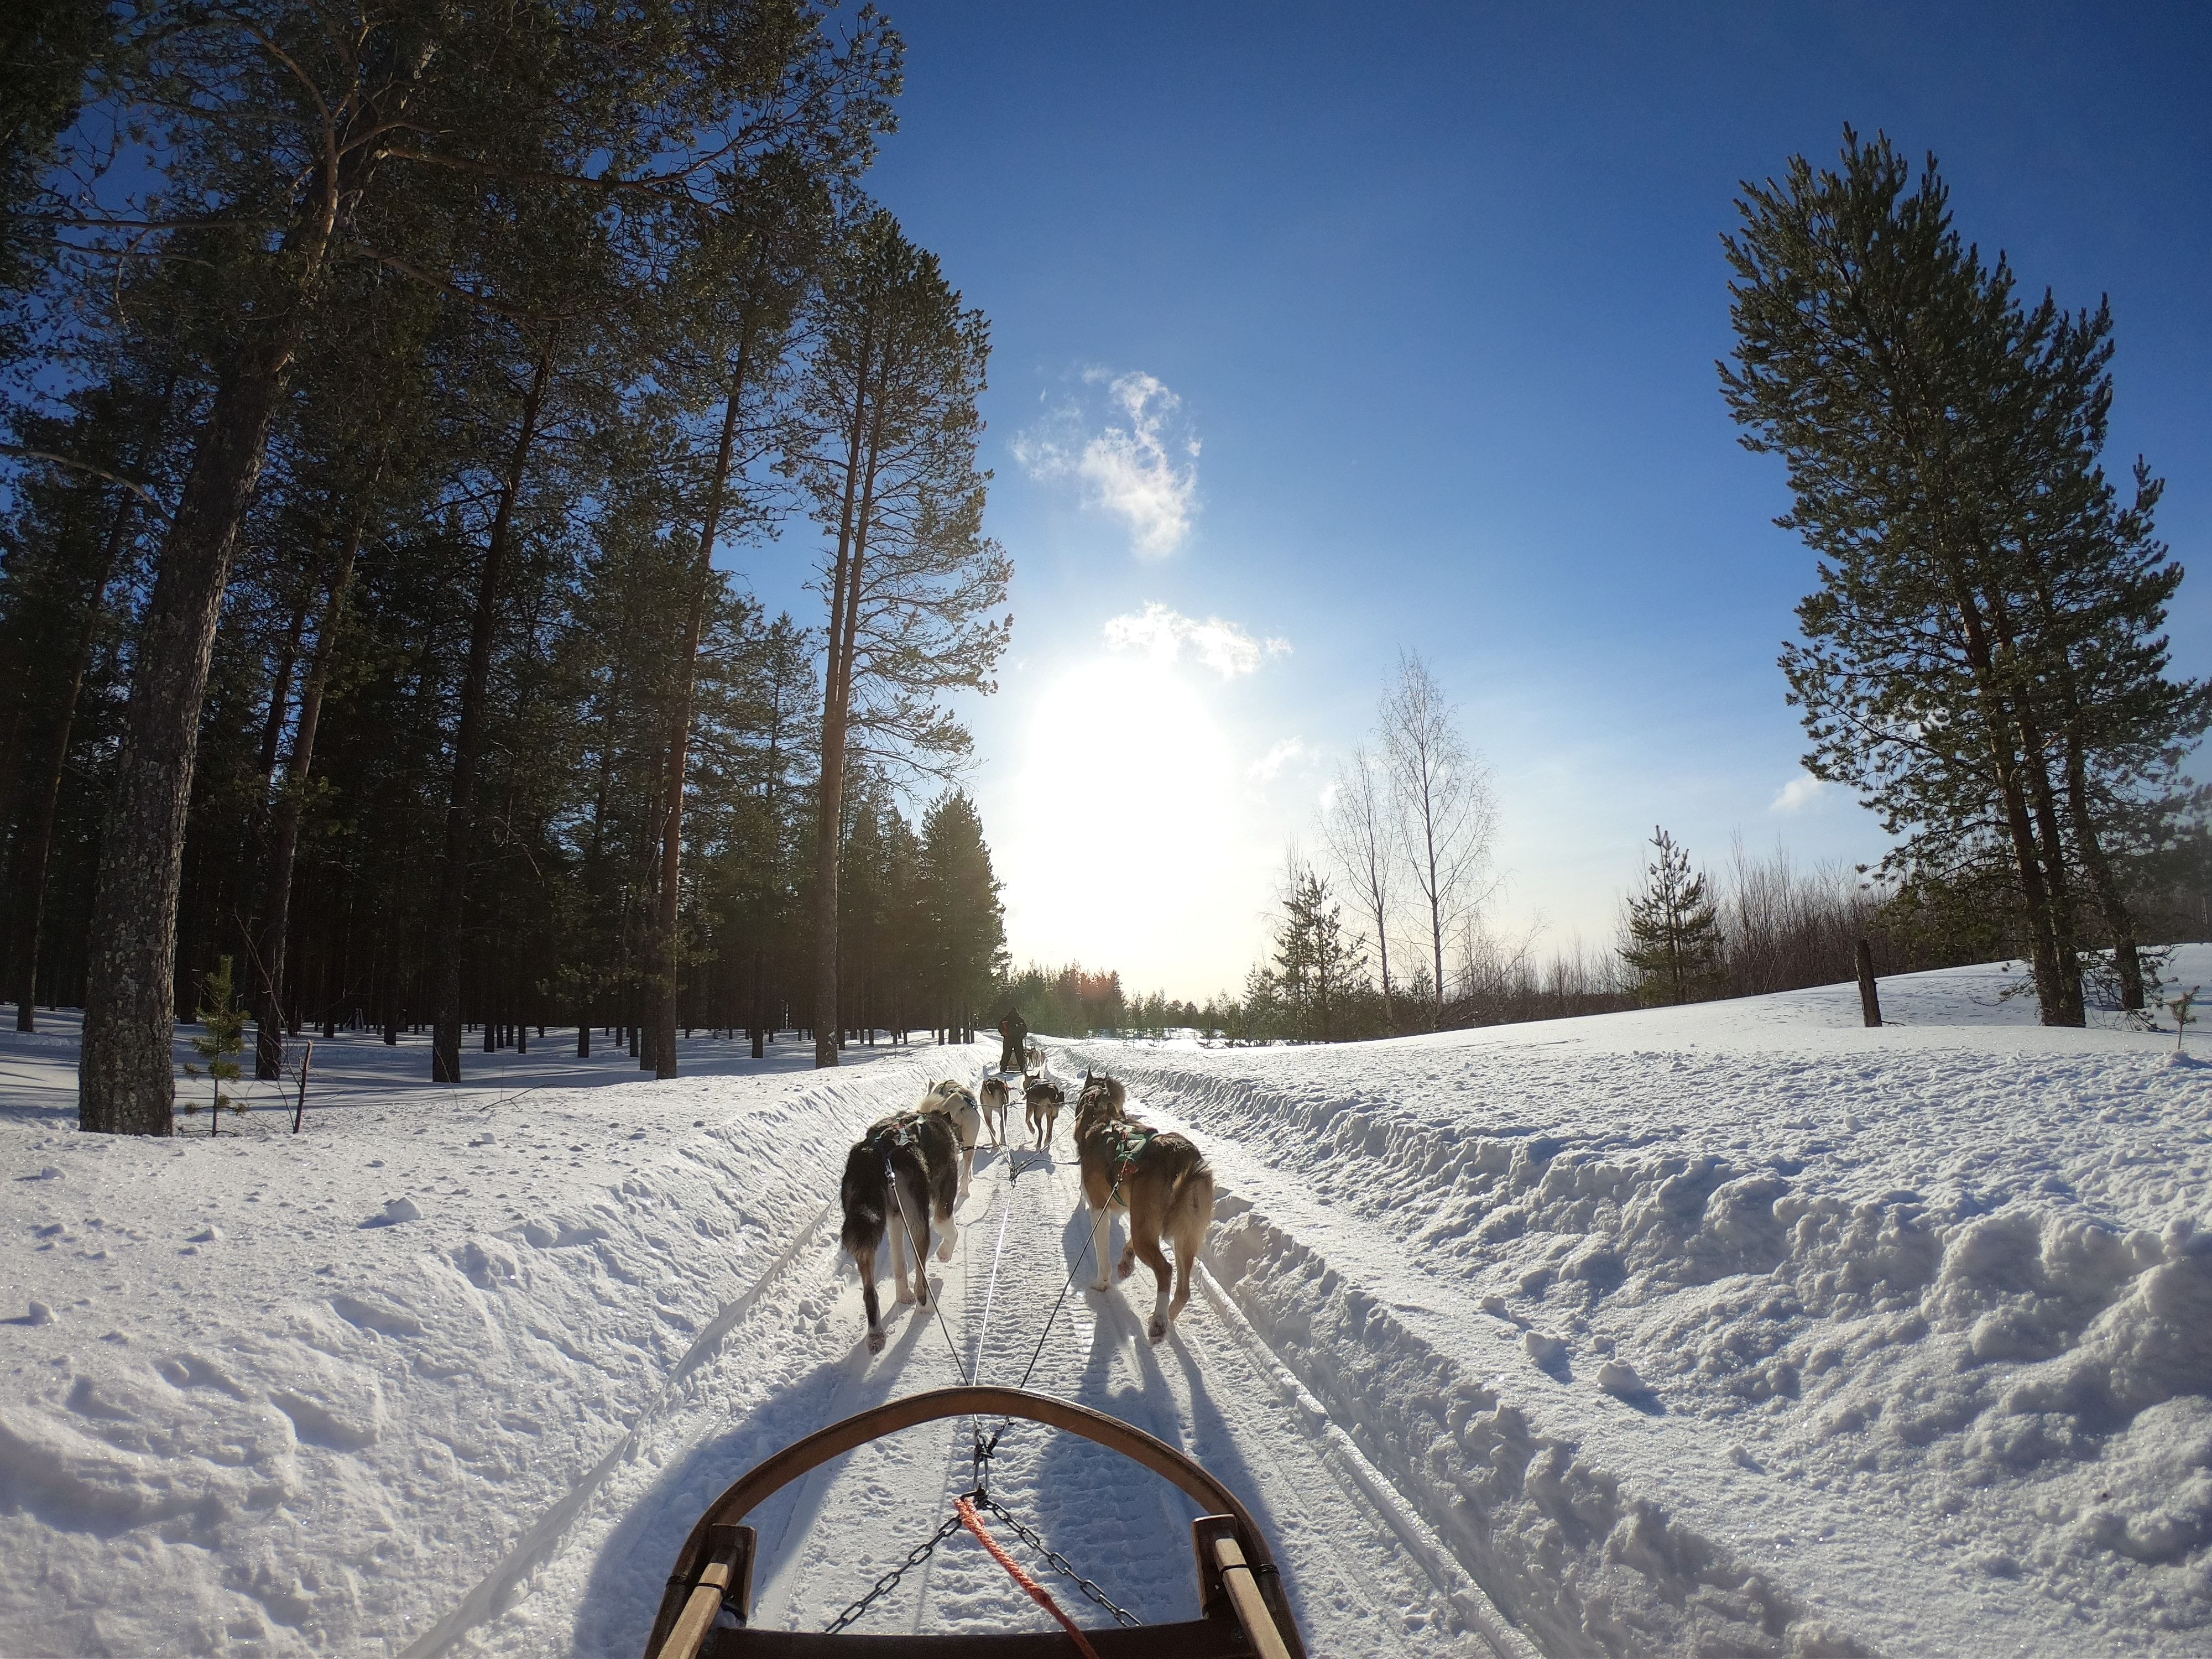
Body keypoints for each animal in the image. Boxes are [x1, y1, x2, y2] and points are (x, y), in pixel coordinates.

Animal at [836, 1110, 960, 1354]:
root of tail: (876, 1152)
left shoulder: (895, 1217)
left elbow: (899, 1263)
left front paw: (903, 1296)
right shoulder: (943, 1201)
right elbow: (948, 1229)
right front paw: (945, 1253)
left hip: (866, 1232)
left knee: (869, 1292)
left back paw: (876, 1334)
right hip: (919, 1223)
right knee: (921, 1280)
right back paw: (926, 1306)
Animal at [1018, 1071, 1062, 1150]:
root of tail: (1050, 1089)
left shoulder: (1030, 1107)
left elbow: (1027, 1120)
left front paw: (1032, 1130)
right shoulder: (1048, 1114)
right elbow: (1048, 1126)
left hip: (1037, 1114)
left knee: (1041, 1131)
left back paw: (1038, 1144)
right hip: (1053, 1113)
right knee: (1050, 1126)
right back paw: (1048, 1139)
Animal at [1071, 1084, 1212, 1345]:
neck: (1102, 1121)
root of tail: (1182, 1157)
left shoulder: (1100, 1210)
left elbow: (1102, 1256)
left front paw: (1102, 1283)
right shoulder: (1134, 1213)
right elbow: (1128, 1245)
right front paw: (1126, 1262)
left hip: (1153, 1234)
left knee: (1165, 1270)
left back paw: (1158, 1323)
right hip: (1184, 1237)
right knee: (1183, 1290)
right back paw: (1165, 1318)